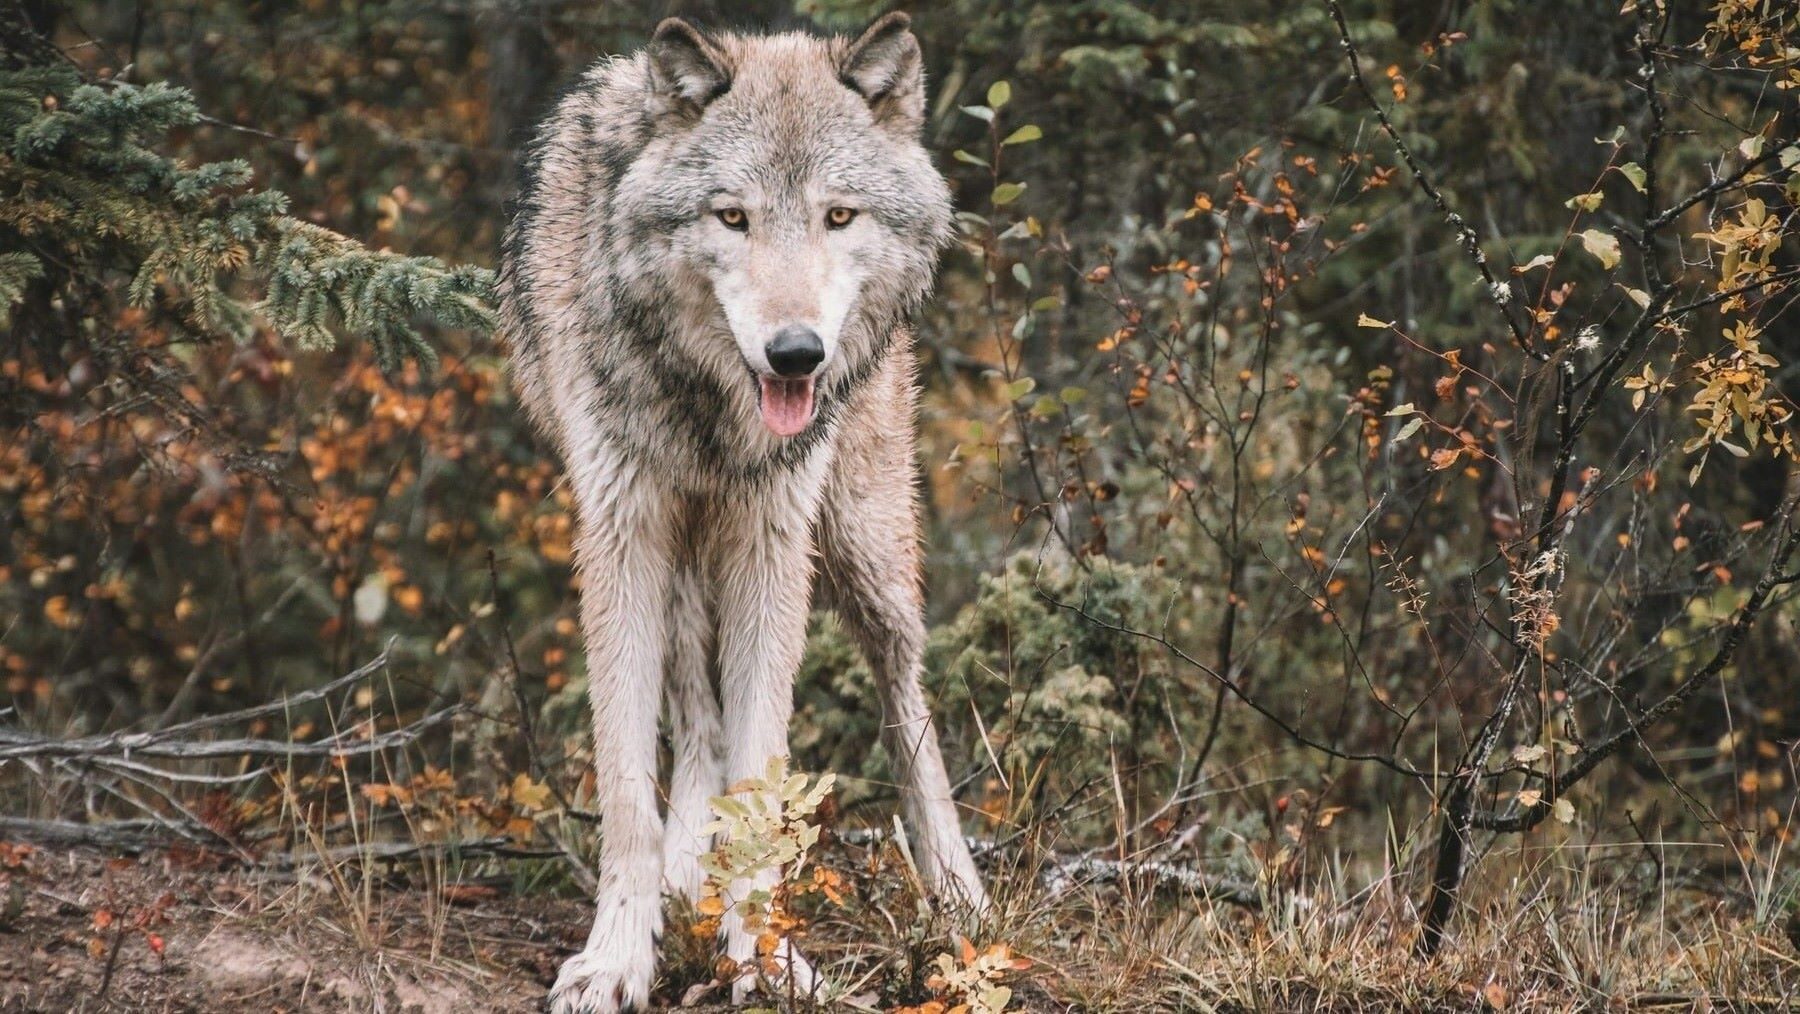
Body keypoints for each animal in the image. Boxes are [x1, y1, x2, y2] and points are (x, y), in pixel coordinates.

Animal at [498, 12, 990, 1012]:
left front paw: (762, 959)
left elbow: (765, 772)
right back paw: (687, 875)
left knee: (905, 694)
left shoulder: (774, 539)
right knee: (695, 713)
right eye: (733, 217)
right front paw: (617, 956)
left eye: (839, 216)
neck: (709, 405)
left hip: (862, 549)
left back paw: (958, 893)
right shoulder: (621, 532)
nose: (796, 353)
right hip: (690, 555)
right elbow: (629, 789)